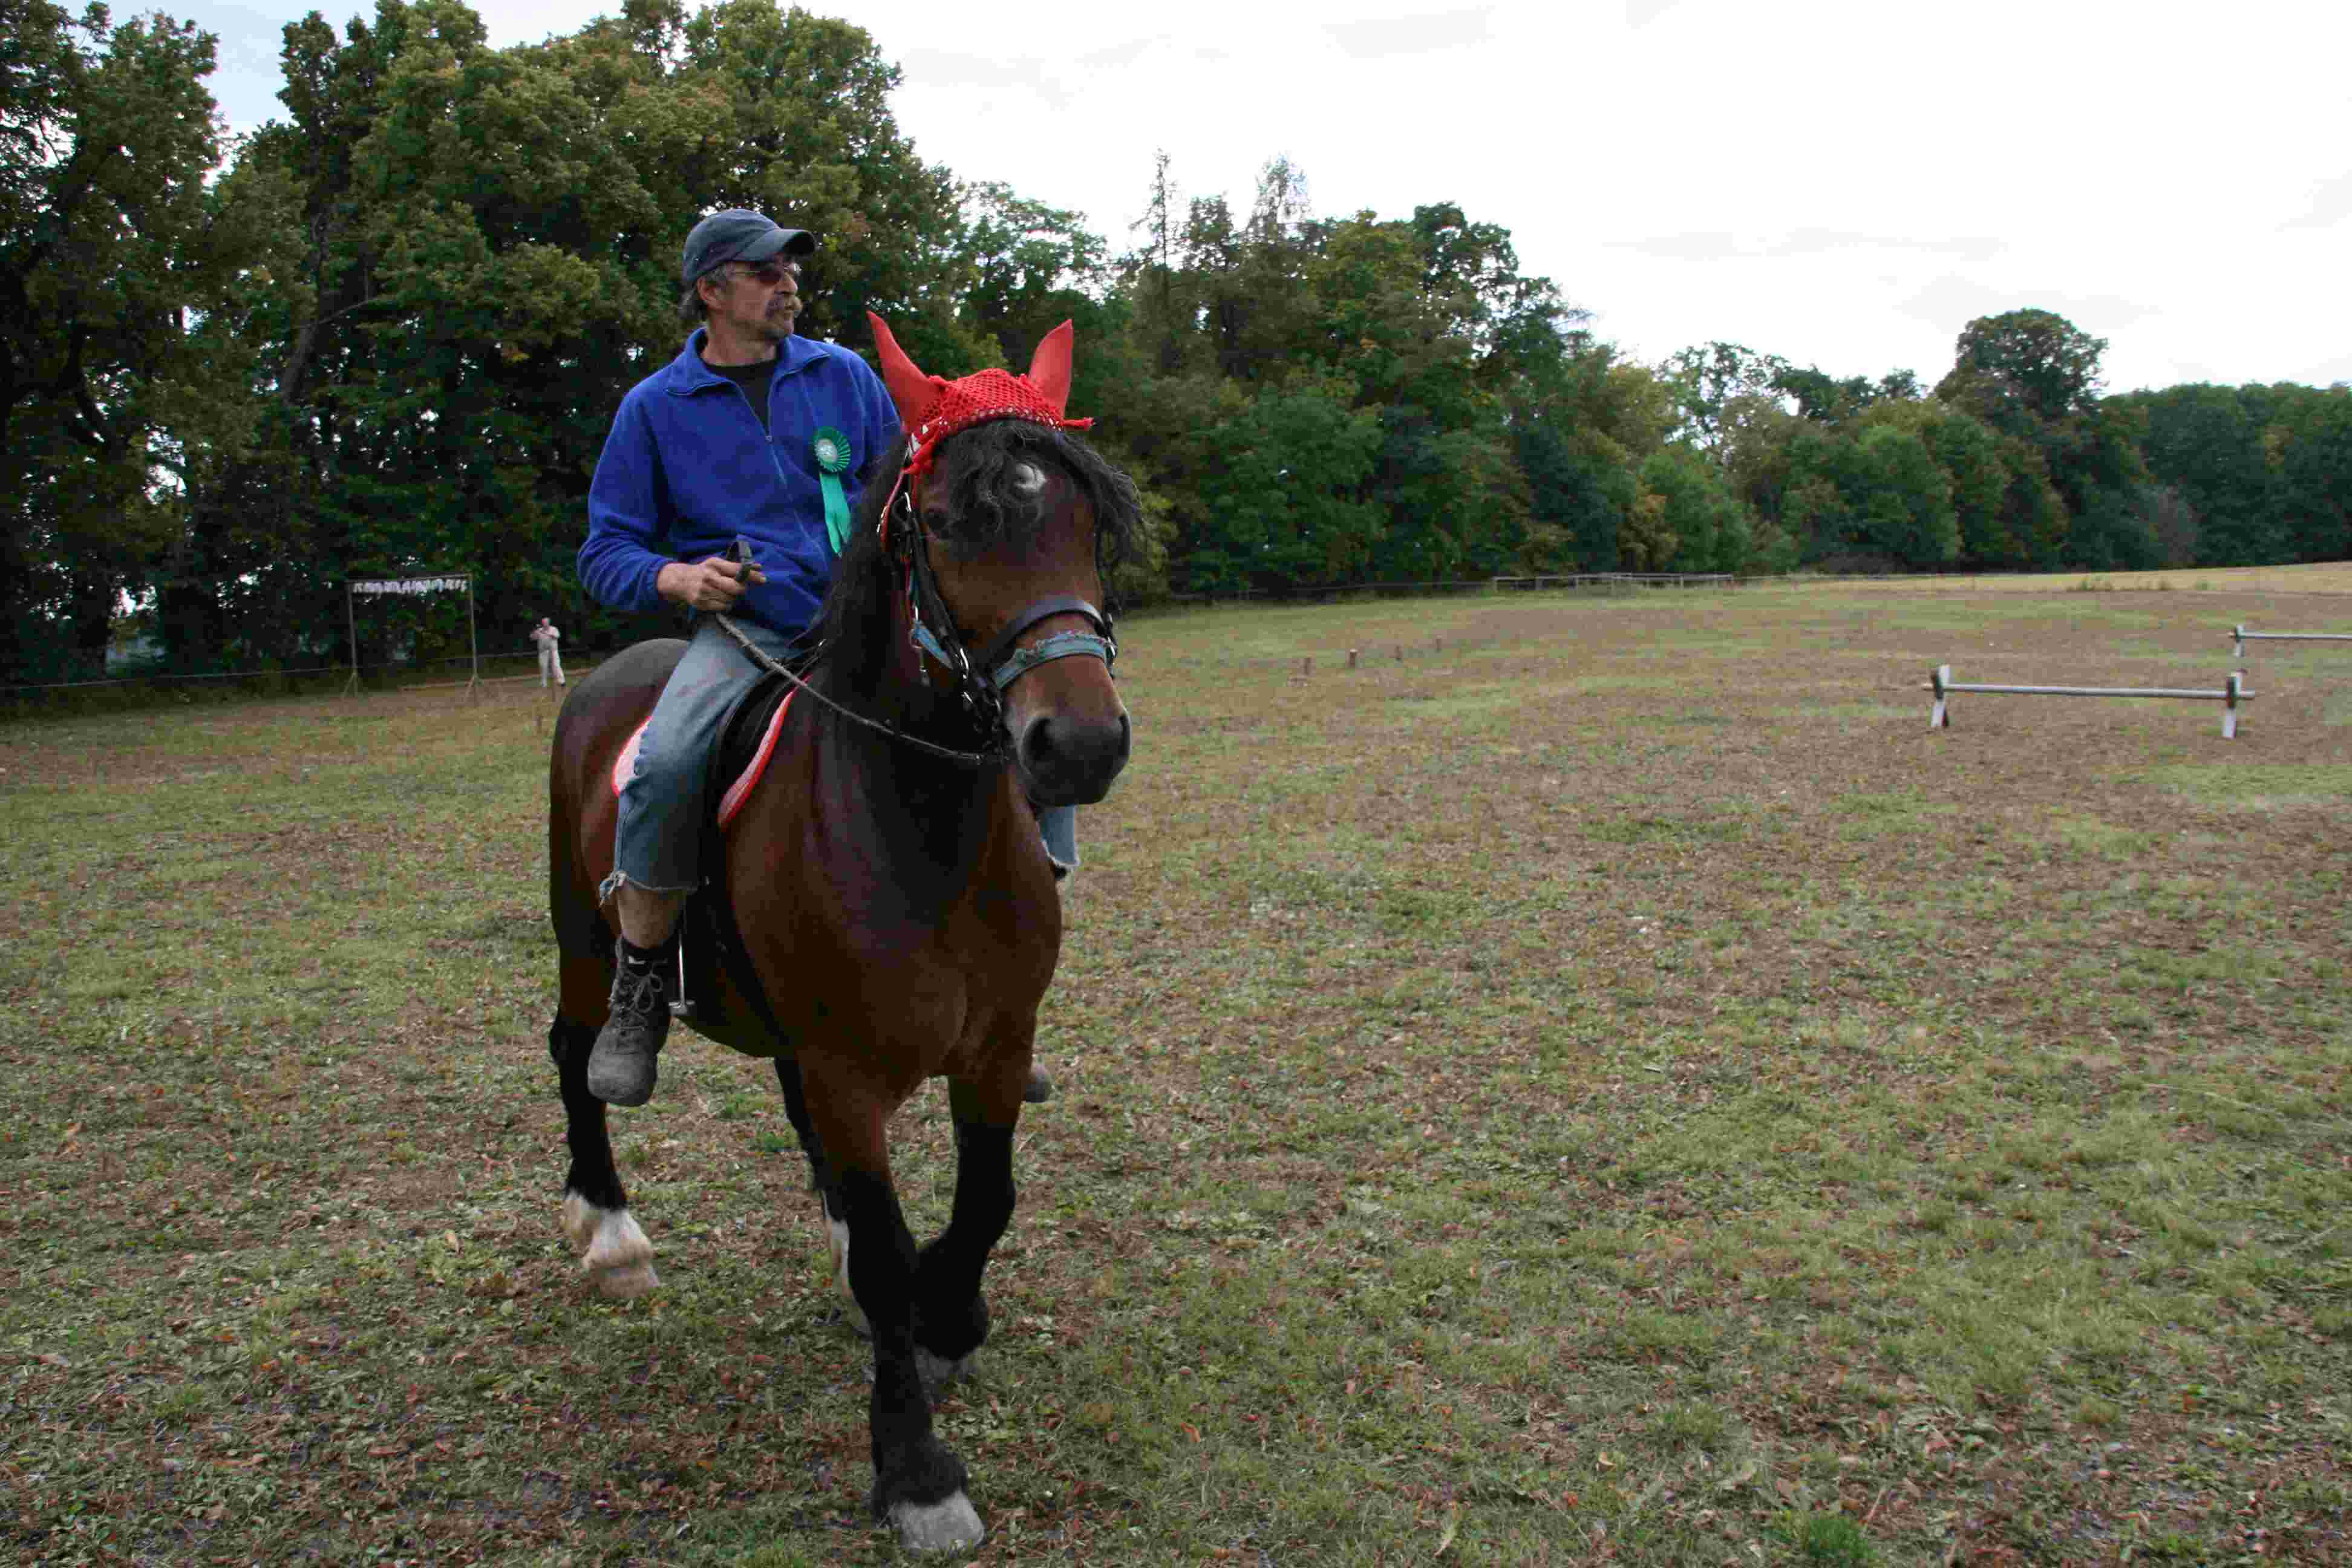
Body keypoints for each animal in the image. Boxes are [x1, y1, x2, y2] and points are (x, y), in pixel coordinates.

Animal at [546, 322, 1143, 1561]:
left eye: (1086, 521)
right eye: (951, 522)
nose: (1079, 746)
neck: (921, 830)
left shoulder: (996, 1048)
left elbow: (982, 1205)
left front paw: (947, 1314)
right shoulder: (848, 1072)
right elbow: (882, 1248)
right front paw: (915, 1469)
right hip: (583, 940)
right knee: (575, 1056)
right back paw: (610, 1229)